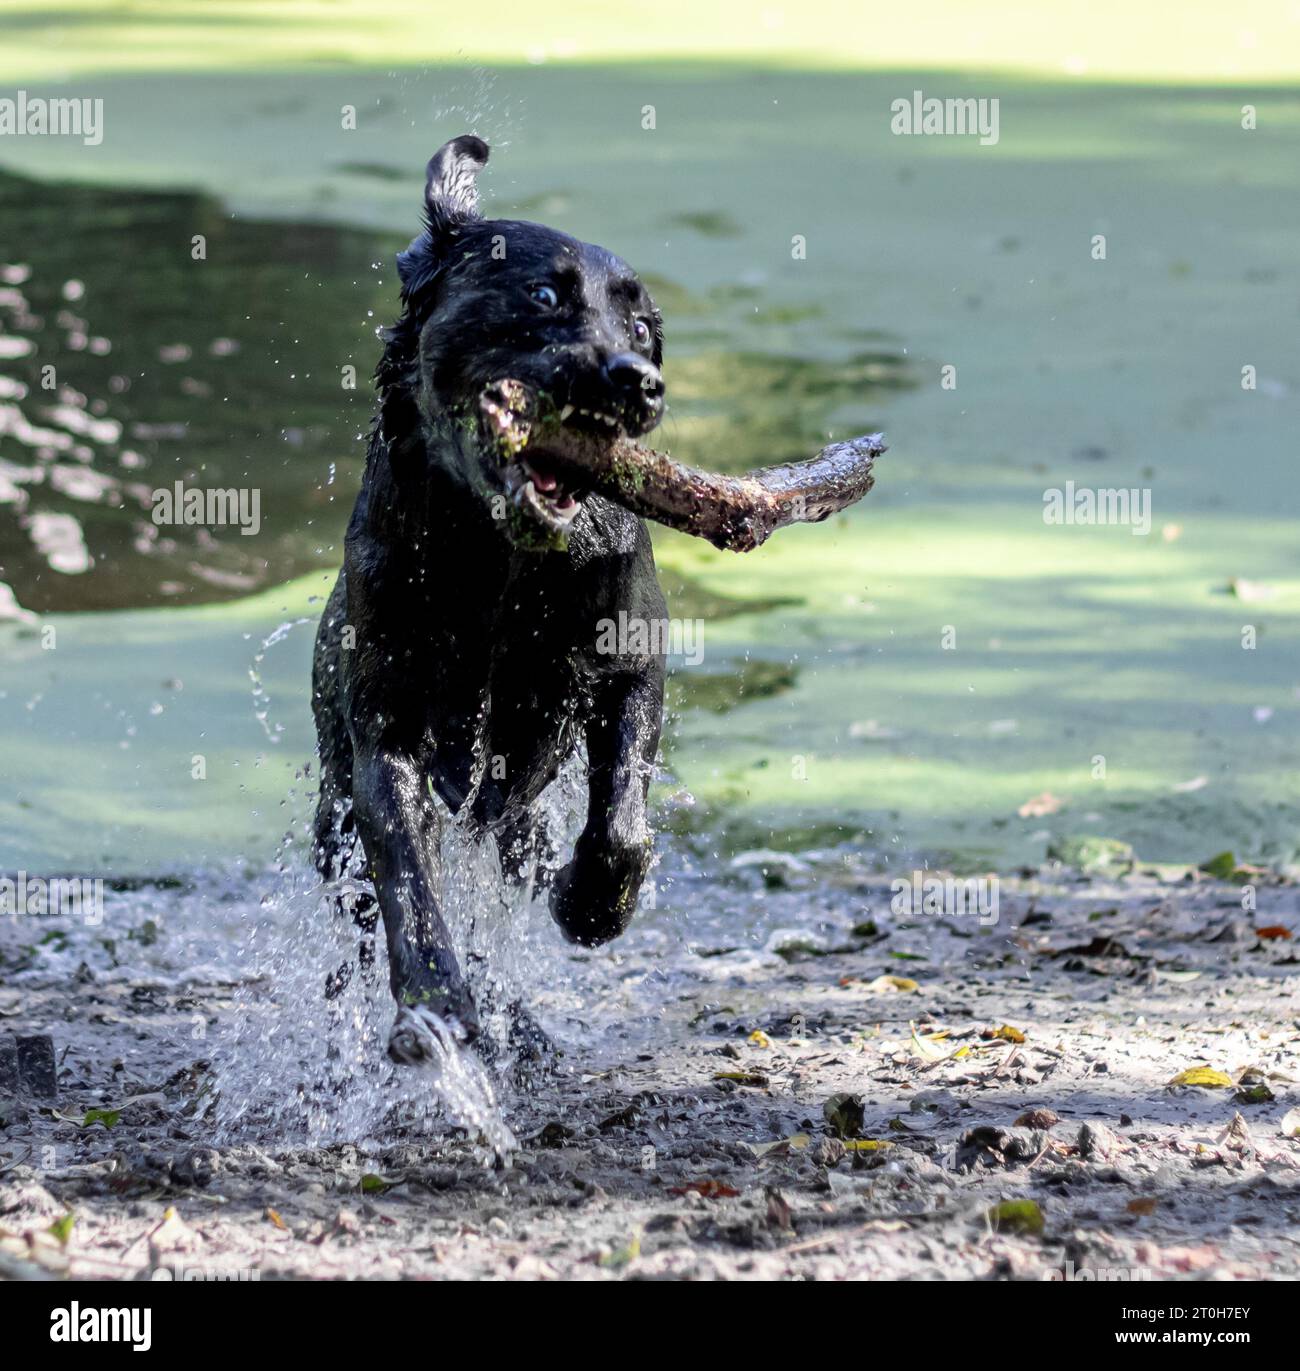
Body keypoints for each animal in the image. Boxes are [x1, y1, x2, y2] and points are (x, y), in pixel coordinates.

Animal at [309, 136, 666, 1058]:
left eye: (642, 330)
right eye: (543, 294)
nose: (638, 381)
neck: (501, 561)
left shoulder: (632, 666)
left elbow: (622, 822)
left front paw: (590, 903)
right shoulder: (387, 733)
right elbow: (407, 876)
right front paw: (435, 1002)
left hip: (515, 829)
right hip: (333, 830)